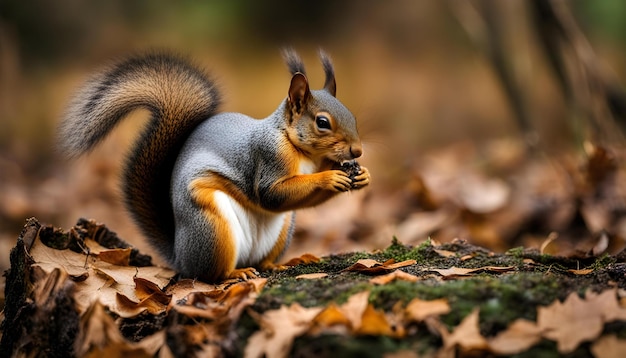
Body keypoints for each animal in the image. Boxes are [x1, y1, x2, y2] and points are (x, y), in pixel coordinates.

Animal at [59, 49, 368, 282]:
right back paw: (235, 273)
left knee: (262, 260)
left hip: (282, 229)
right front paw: (330, 178)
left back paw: (277, 264)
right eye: (322, 122)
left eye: (353, 115)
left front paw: (361, 176)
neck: (304, 153)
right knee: (210, 274)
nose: (358, 151)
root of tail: (180, 255)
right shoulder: (268, 157)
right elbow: (271, 194)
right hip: (211, 228)